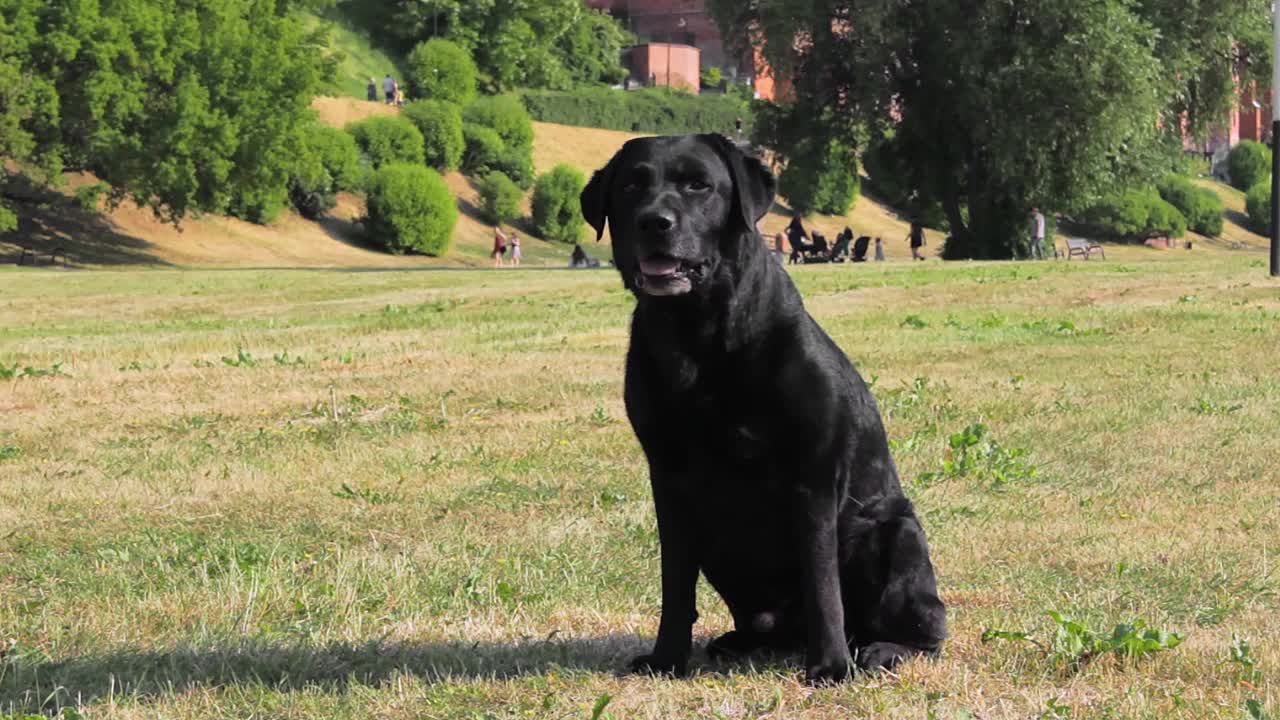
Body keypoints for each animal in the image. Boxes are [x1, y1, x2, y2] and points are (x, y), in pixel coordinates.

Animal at [586, 134, 947, 681]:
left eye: (698, 185)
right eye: (631, 186)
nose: (654, 221)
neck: (698, 337)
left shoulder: (812, 478)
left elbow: (823, 586)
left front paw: (830, 667)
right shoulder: (669, 477)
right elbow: (675, 584)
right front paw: (667, 658)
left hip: (895, 530)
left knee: (923, 629)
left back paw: (881, 649)